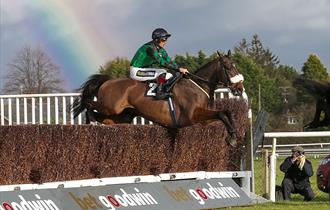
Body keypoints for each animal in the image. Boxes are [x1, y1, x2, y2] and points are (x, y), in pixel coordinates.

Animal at [73, 50, 246, 146]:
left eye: (236, 65)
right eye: (228, 67)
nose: (240, 88)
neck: (198, 86)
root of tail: (107, 81)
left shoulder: (203, 119)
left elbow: (226, 112)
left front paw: (234, 135)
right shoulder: (193, 115)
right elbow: (222, 113)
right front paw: (232, 138)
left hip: (122, 116)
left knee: (101, 116)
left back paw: (91, 124)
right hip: (110, 106)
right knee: (89, 103)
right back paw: (89, 121)